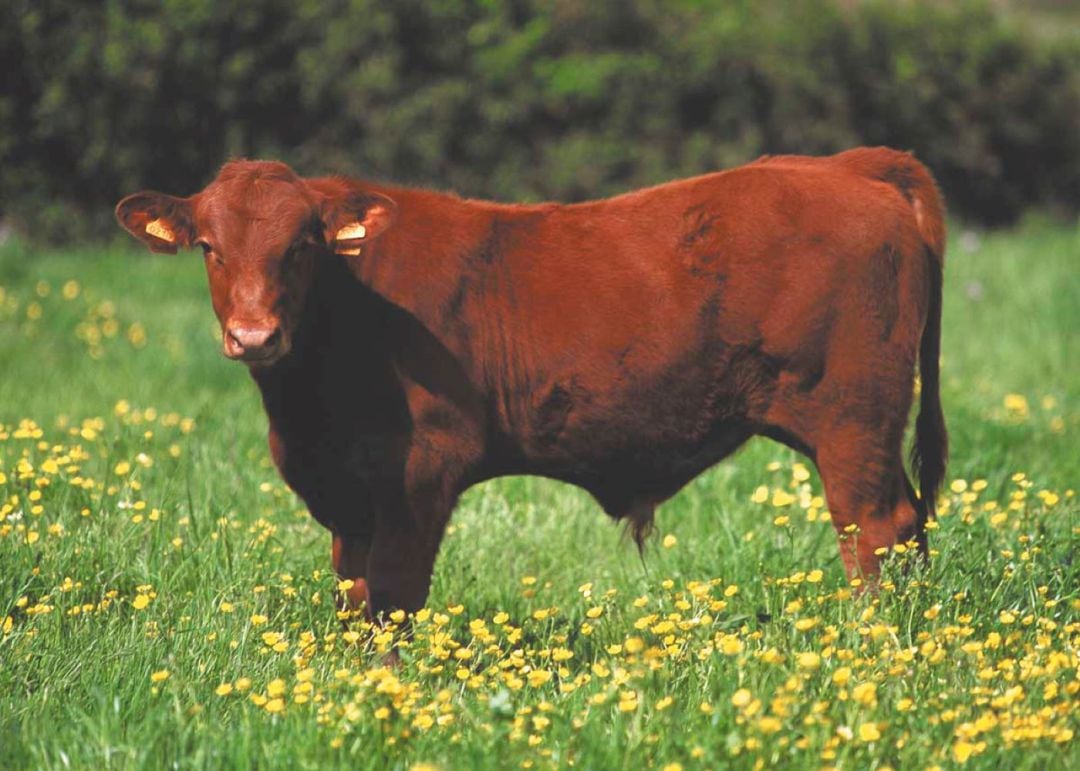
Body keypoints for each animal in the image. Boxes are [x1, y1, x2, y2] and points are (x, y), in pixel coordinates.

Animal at [115, 147, 947, 618]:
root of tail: (844, 164)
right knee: (910, 526)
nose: (255, 334)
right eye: (210, 247)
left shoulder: (422, 470)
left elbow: (394, 592)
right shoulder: (349, 492)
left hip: (851, 422)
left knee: (875, 533)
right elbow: (354, 592)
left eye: (301, 245)